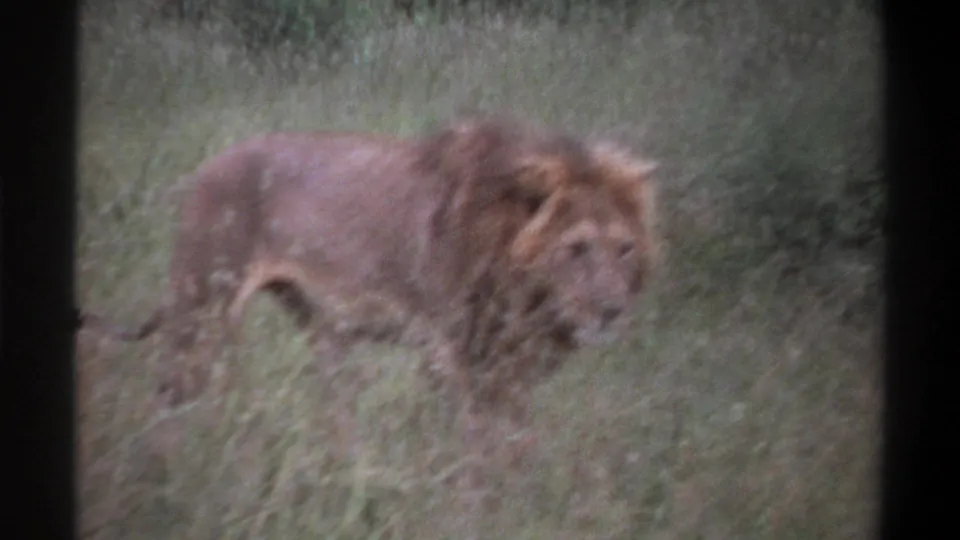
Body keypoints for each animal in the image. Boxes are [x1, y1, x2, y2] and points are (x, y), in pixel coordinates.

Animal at [79, 116, 660, 454]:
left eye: (624, 249)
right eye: (576, 249)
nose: (611, 310)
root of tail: (206, 168)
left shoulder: (508, 363)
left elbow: (516, 442)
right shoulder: (452, 351)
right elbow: (475, 447)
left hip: (317, 332)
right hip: (202, 313)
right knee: (169, 404)